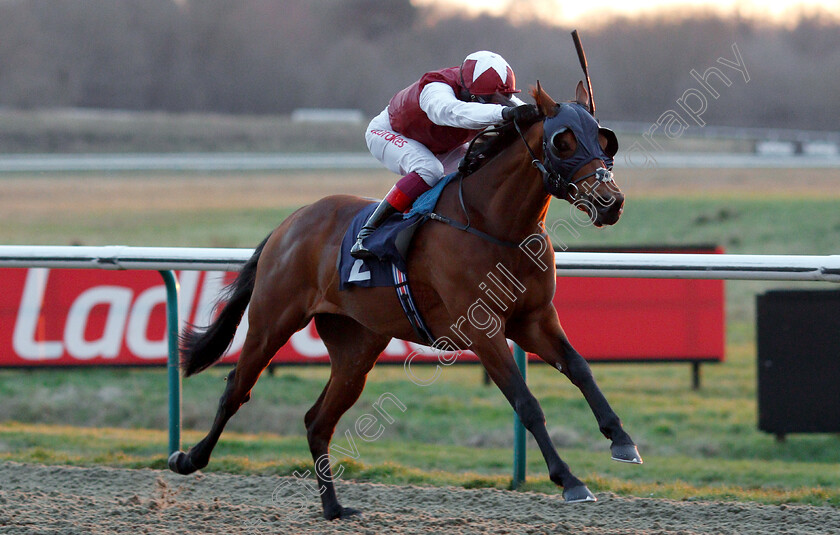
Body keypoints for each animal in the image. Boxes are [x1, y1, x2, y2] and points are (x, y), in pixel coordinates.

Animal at [169, 82, 644, 520]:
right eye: (563, 141)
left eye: (603, 138)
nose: (612, 202)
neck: (493, 225)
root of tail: (291, 222)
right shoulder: (483, 329)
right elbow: (526, 403)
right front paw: (570, 479)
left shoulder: (534, 320)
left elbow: (580, 369)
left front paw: (622, 440)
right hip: (272, 320)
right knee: (237, 388)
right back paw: (187, 458)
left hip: (356, 348)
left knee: (317, 421)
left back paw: (334, 508)